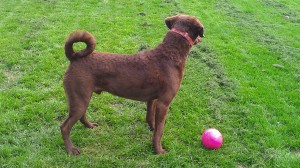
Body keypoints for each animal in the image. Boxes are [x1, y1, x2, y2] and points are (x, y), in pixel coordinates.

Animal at [60, 14, 205, 155]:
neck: (170, 53)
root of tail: (74, 57)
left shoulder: (153, 99)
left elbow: (150, 119)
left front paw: (152, 129)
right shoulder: (164, 103)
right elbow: (160, 131)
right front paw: (158, 150)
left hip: (83, 98)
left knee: (81, 116)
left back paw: (90, 126)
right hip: (80, 99)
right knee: (64, 127)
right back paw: (71, 150)